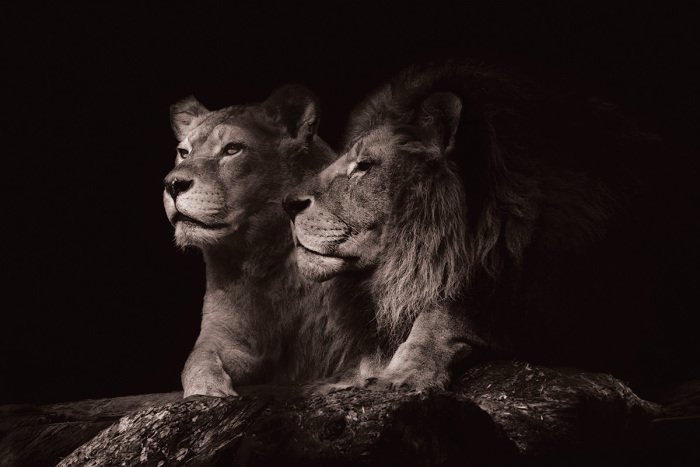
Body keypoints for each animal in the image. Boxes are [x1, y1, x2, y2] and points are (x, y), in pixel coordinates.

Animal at [164, 85, 375, 397]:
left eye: (232, 149)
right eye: (183, 152)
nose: (172, 184)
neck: (264, 257)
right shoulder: (225, 335)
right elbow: (196, 360)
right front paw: (208, 391)